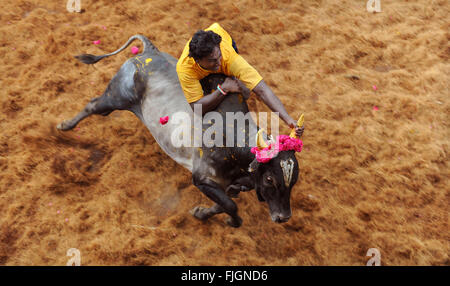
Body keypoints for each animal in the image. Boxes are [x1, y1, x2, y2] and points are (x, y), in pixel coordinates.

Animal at [58, 35, 300, 228]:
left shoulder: (233, 184)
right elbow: (230, 205)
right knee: (93, 105)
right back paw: (64, 126)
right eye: (269, 179)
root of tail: (149, 51)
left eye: (294, 180)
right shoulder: (201, 178)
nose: (283, 217)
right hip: (116, 96)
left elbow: (224, 203)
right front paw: (232, 221)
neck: (232, 139)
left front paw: (201, 213)